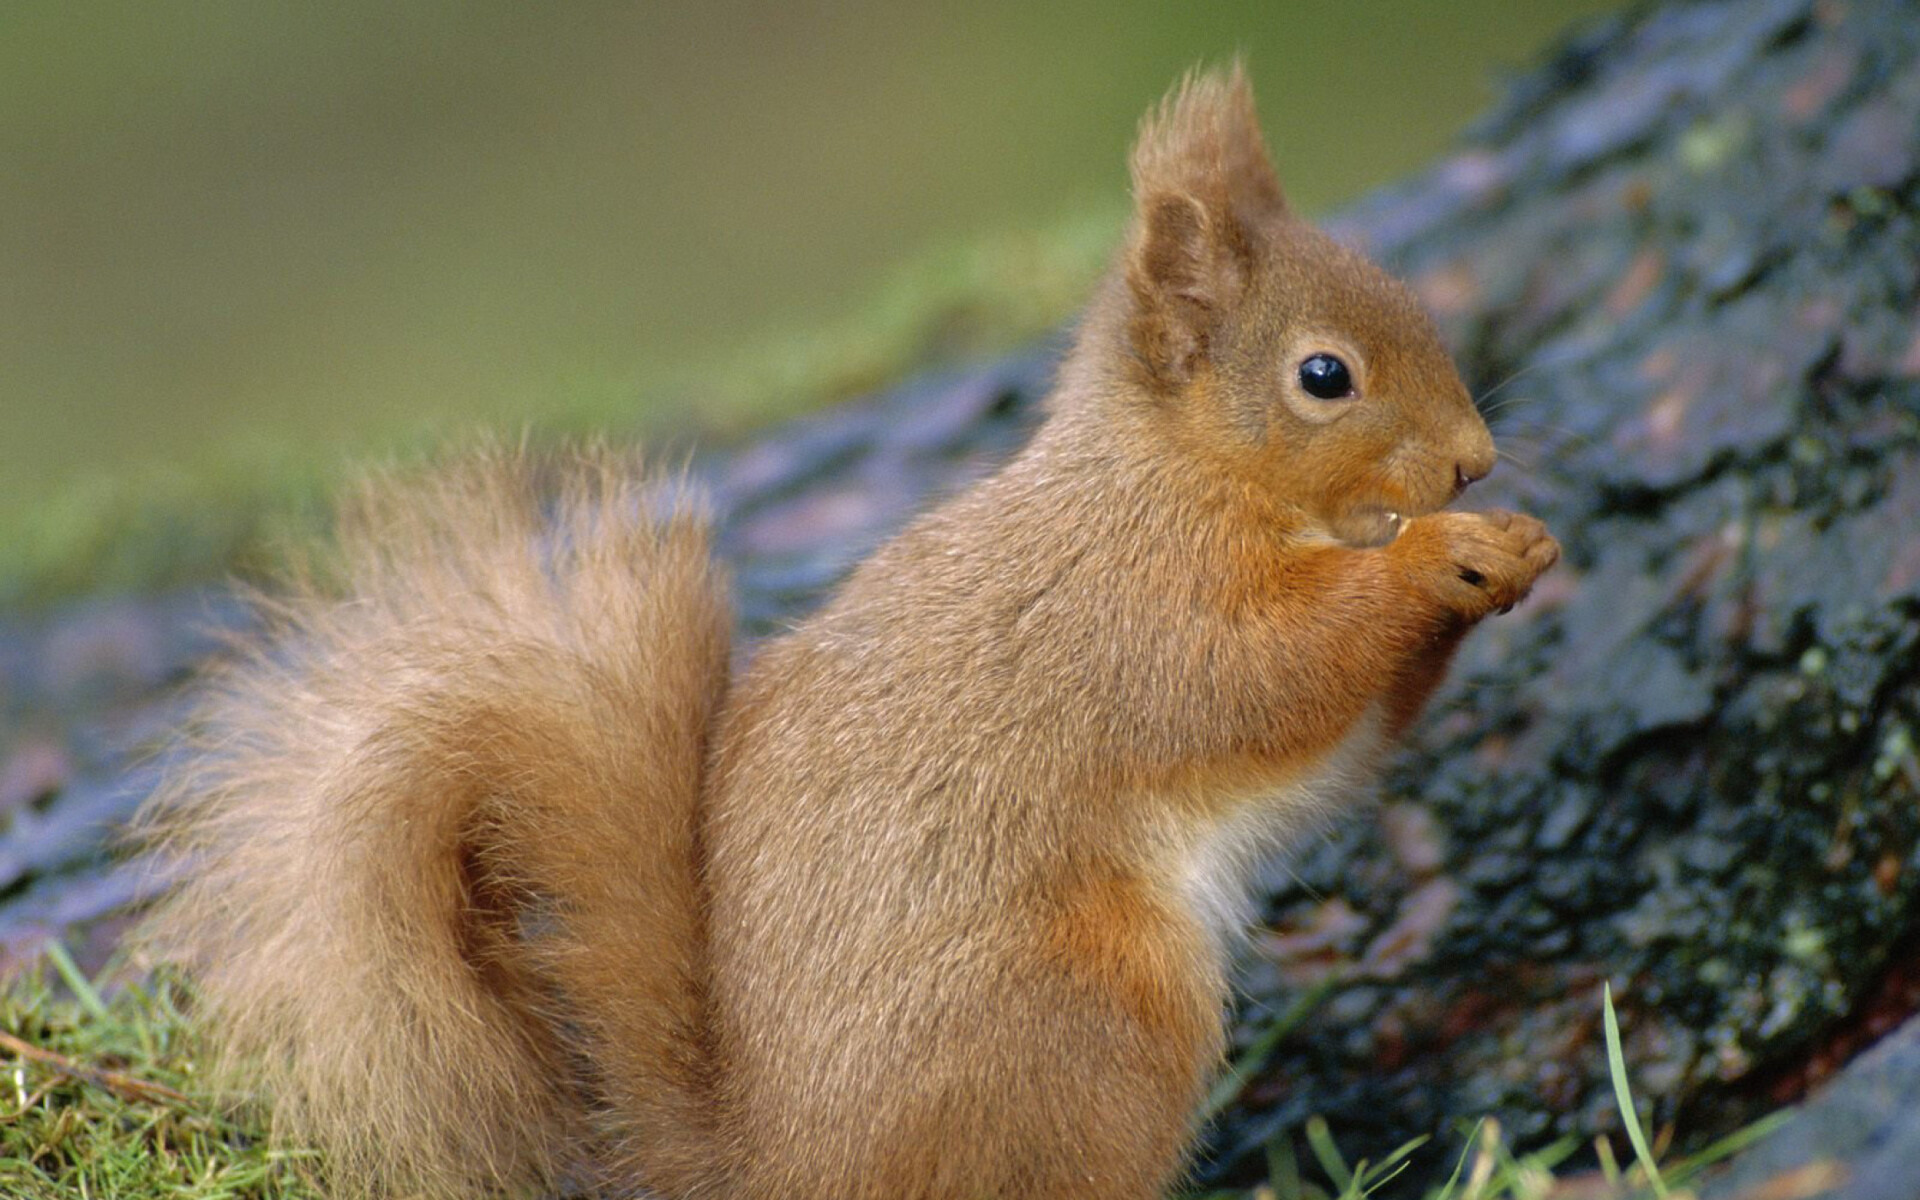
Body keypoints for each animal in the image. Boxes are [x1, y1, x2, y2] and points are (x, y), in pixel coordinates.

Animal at [139, 67, 1559, 1198]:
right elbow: (1270, 677)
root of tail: (776, 1168)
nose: (1474, 464)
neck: (1177, 479)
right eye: (1324, 376)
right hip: (1091, 1019)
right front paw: (1441, 557)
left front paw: (1516, 551)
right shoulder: (1138, 616)